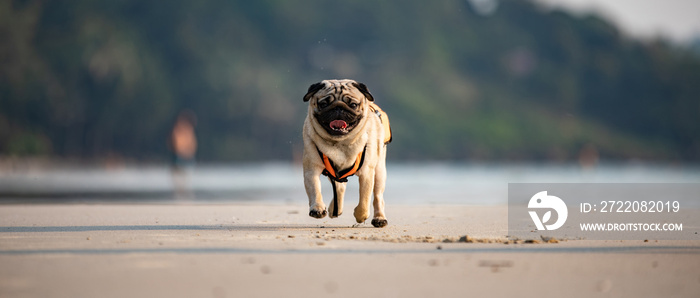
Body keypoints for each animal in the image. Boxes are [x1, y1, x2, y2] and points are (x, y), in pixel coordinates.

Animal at [300, 78, 388, 227]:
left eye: (353, 104)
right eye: (323, 104)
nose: (338, 107)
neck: (341, 142)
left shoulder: (367, 173)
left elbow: (364, 200)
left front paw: (360, 215)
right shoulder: (311, 169)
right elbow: (315, 189)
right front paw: (317, 208)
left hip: (379, 172)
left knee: (377, 196)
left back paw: (379, 218)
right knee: (340, 187)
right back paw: (335, 209)